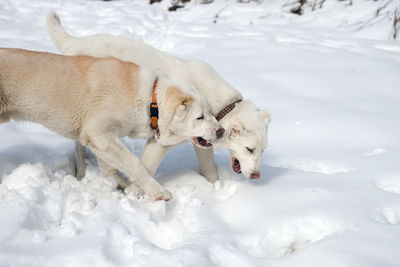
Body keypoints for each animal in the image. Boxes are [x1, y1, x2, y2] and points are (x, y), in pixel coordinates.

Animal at [0, 47, 222, 201]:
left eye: (211, 113)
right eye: (200, 117)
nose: (221, 131)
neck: (151, 101)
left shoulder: (101, 138)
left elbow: (112, 167)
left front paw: (122, 186)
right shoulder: (97, 131)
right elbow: (133, 162)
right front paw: (158, 191)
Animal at [47, 11, 272, 185]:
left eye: (262, 151)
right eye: (249, 149)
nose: (256, 176)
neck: (222, 106)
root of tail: (71, 42)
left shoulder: (200, 142)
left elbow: (209, 169)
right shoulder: (161, 141)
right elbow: (146, 167)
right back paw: (81, 174)